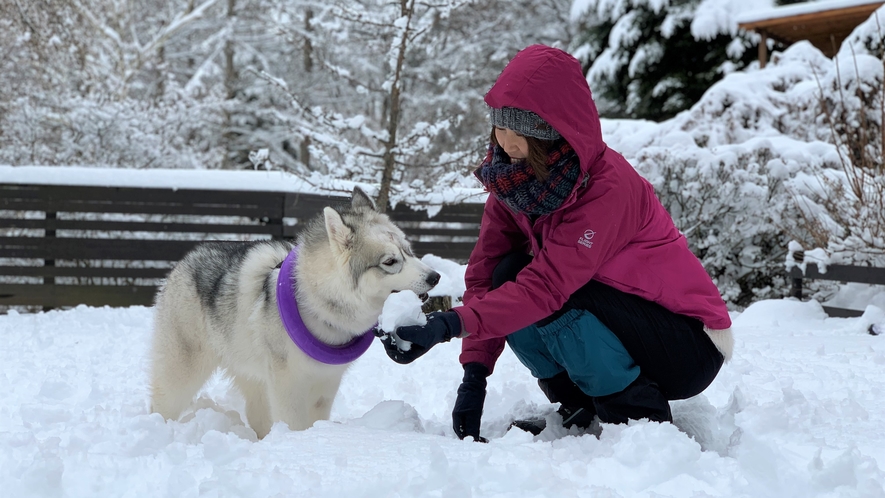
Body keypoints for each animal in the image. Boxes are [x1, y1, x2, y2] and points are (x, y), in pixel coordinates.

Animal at [151, 189, 442, 438]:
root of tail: (187, 258)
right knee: (163, 404)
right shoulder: (288, 385)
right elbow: (294, 424)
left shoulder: (326, 385)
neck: (317, 304)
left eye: (409, 251)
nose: (435, 277)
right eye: (390, 261)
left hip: (253, 376)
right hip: (181, 375)